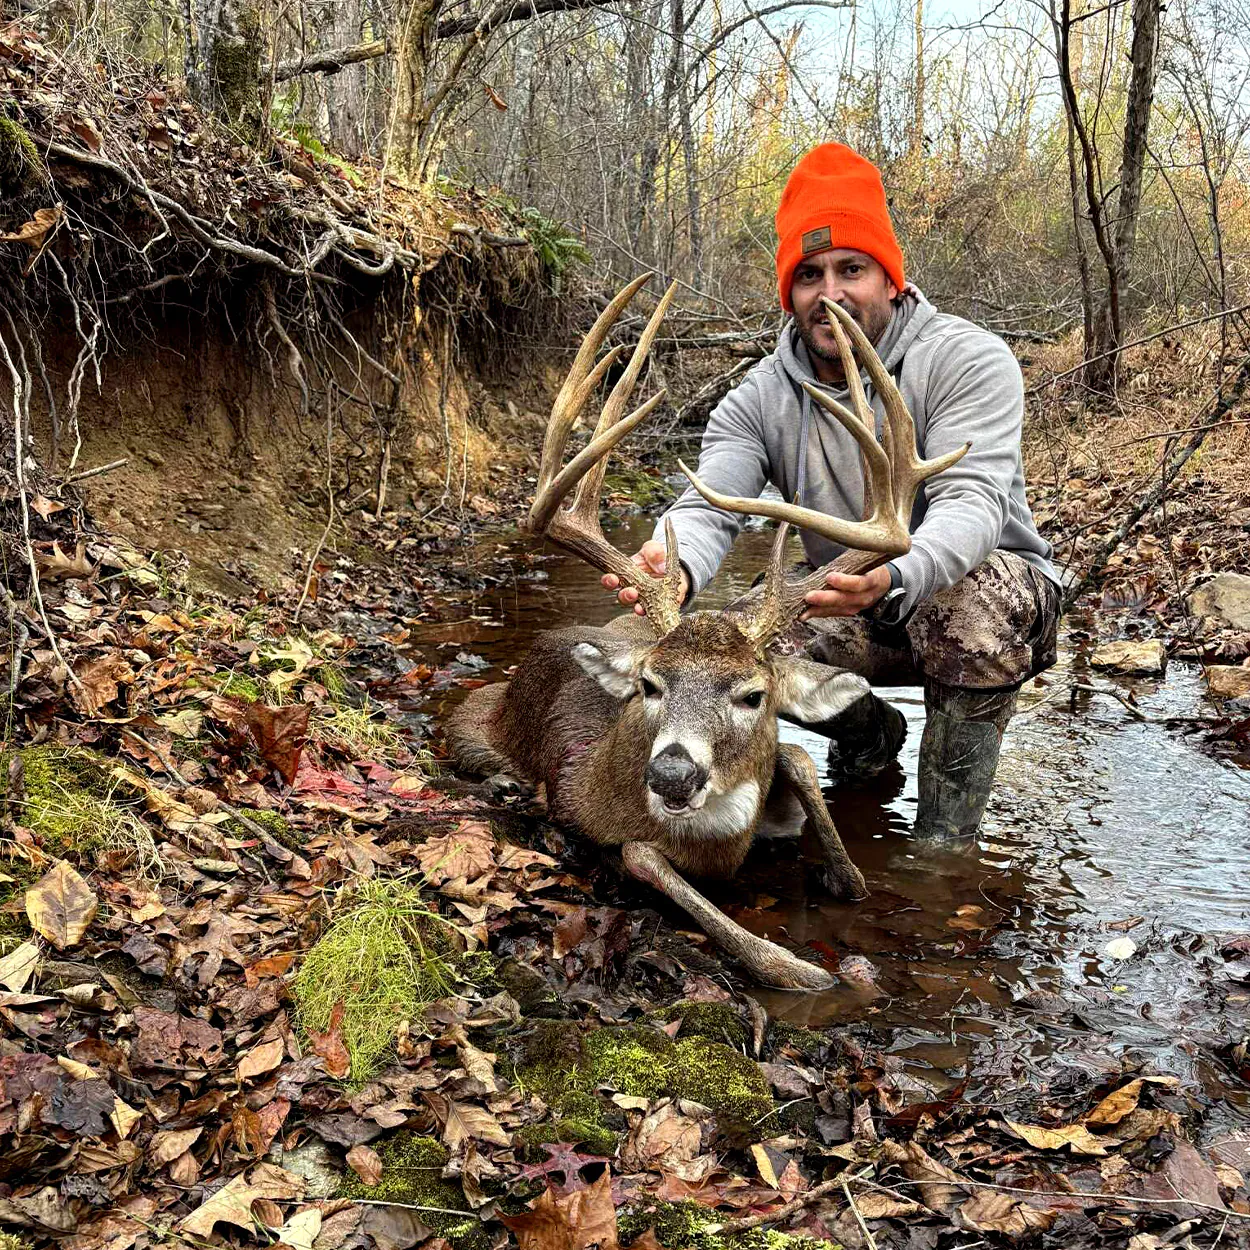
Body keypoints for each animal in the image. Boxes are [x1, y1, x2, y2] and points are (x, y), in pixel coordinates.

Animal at [446, 274, 969, 990]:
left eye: (753, 695)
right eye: (648, 685)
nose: (671, 774)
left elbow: (802, 767)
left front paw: (845, 884)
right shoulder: (583, 803)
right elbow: (644, 858)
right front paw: (801, 971)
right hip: (469, 731)